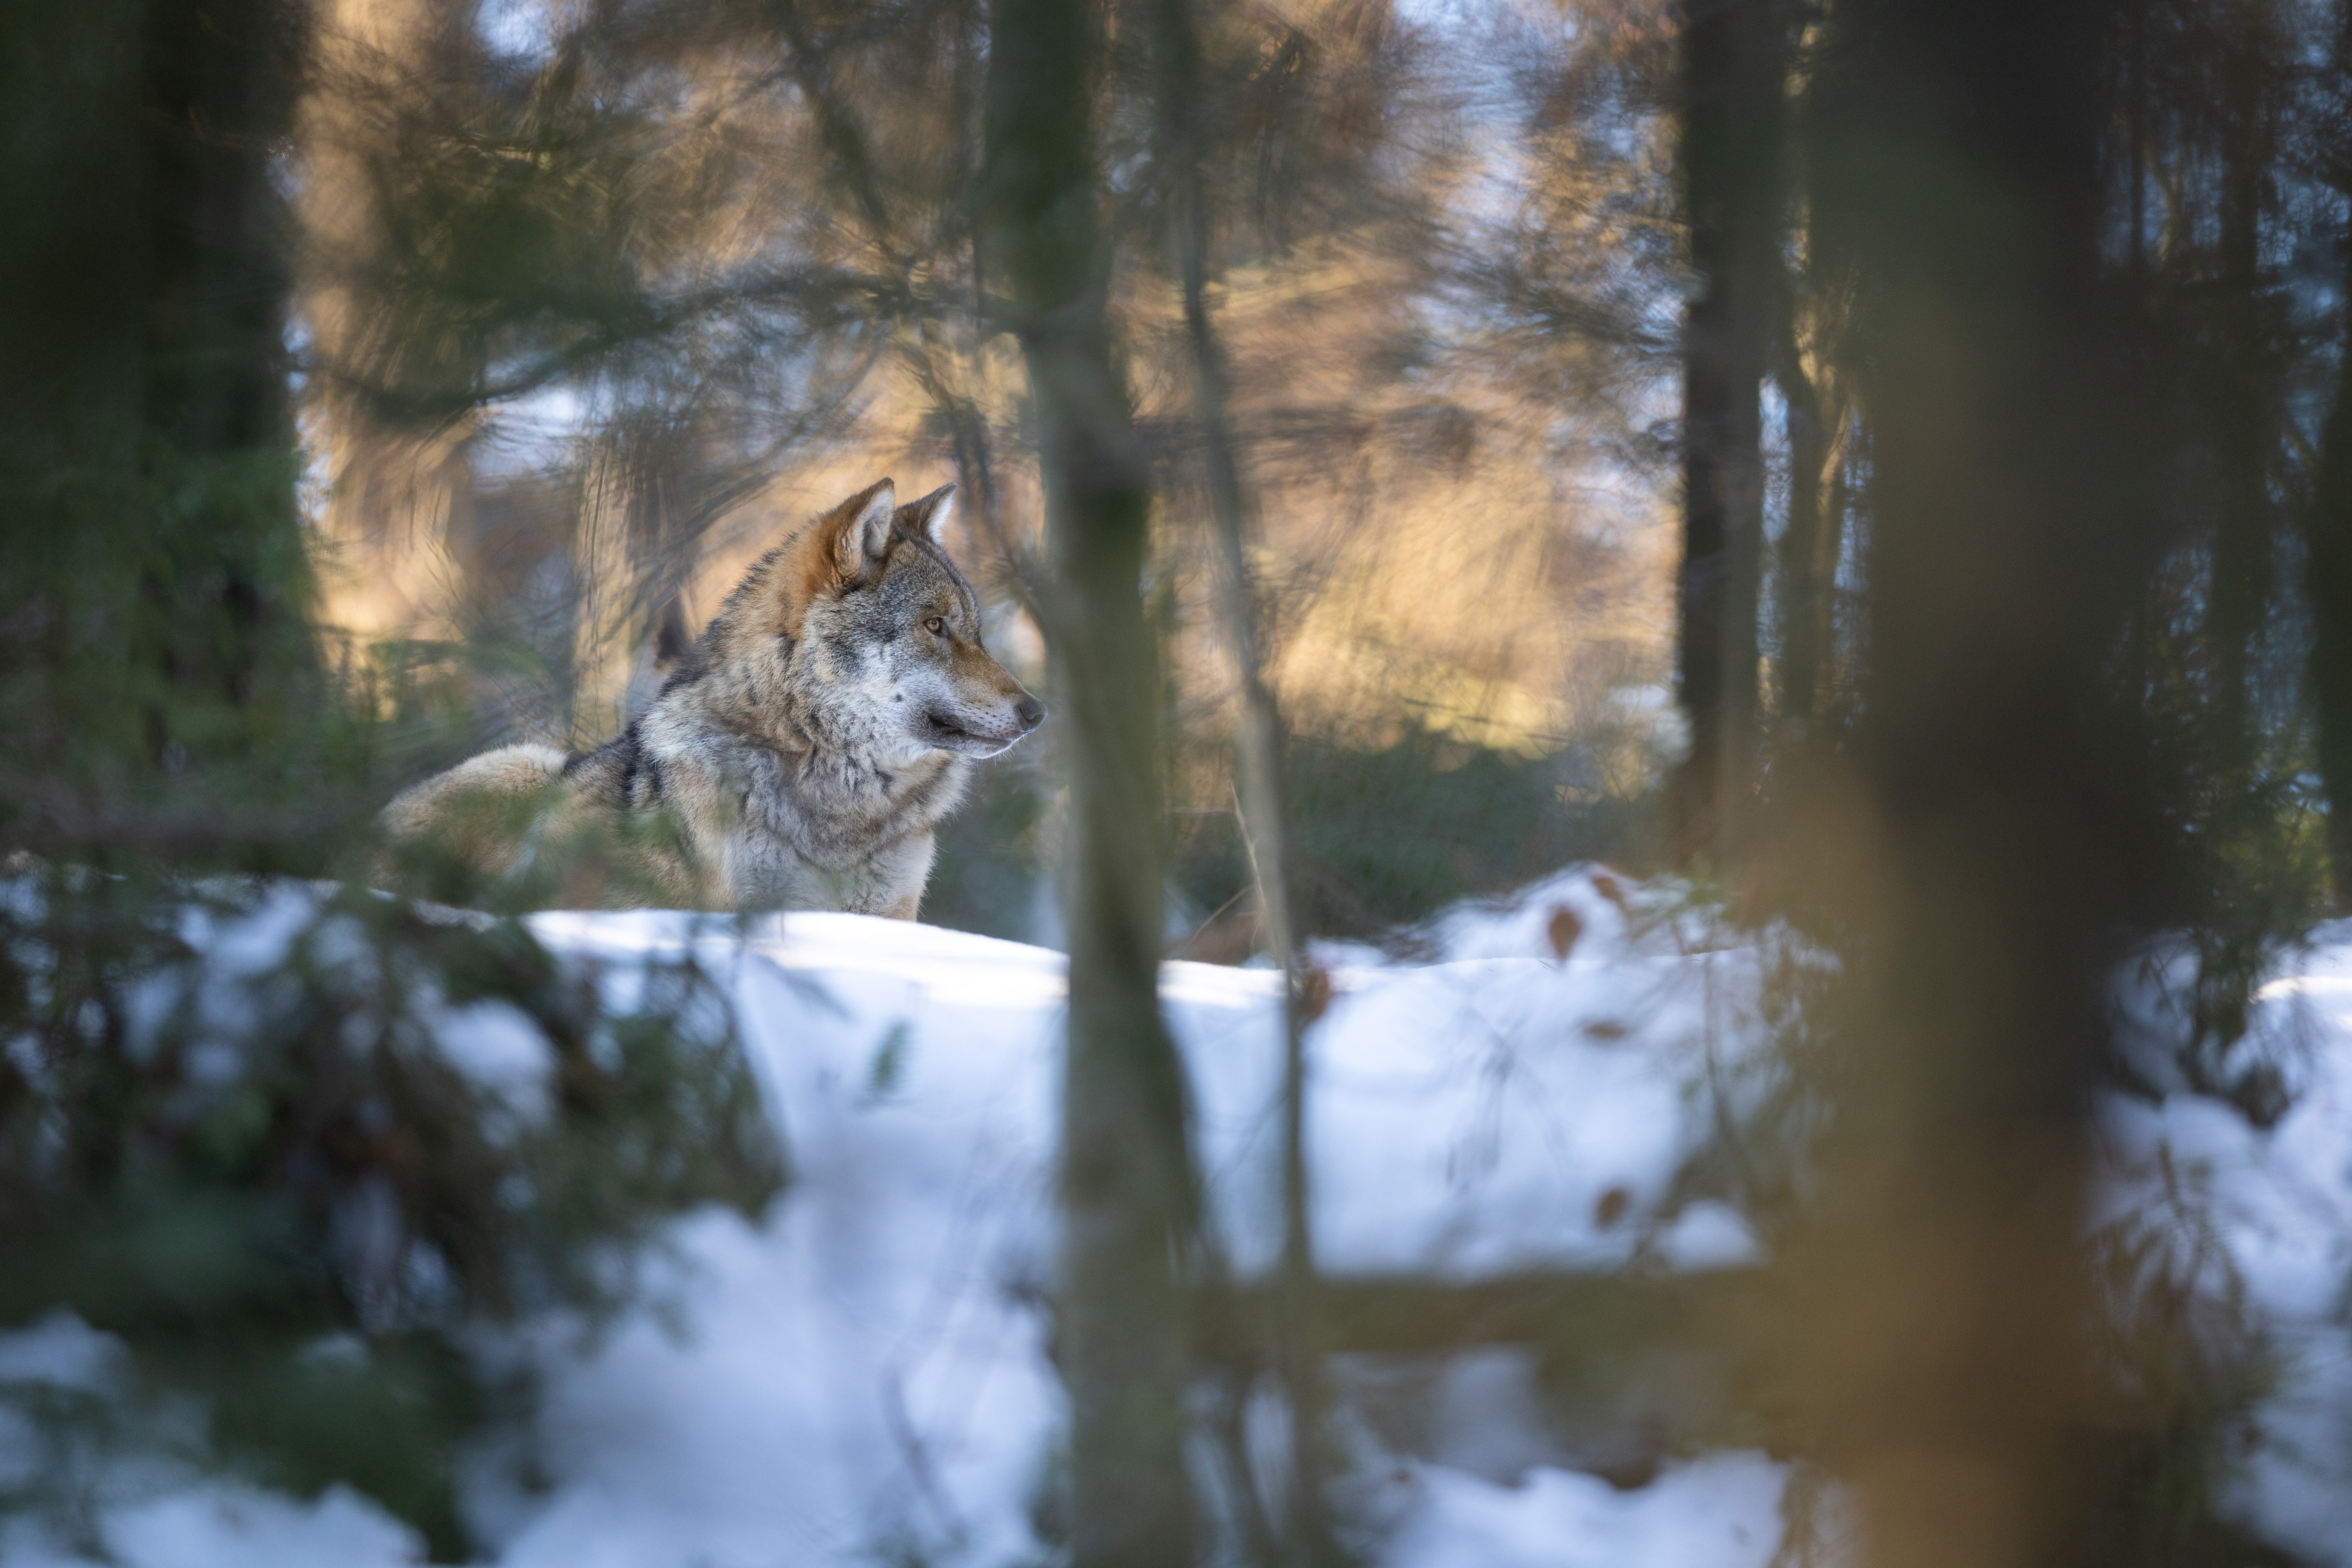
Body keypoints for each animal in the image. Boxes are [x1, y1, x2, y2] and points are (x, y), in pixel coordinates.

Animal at [381, 482, 1044, 921]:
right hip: (522, 764)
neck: (839, 803)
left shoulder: (887, 915)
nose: (1037, 712)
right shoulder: (737, 907)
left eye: (975, 630)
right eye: (934, 626)